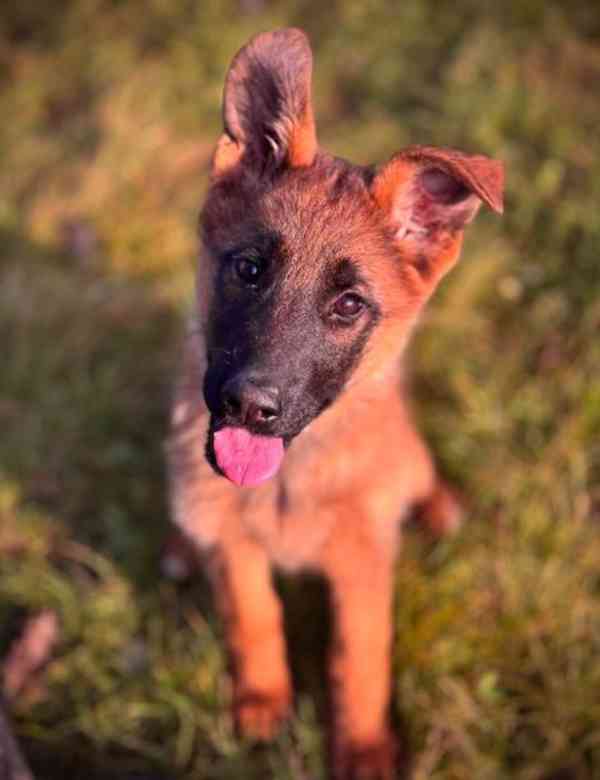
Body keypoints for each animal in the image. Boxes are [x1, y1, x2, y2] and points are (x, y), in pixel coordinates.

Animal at [166, 27, 504, 776]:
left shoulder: (363, 563)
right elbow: (253, 615)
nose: (249, 406)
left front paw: (364, 746)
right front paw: (262, 704)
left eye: (349, 305)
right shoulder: (235, 543)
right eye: (249, 268)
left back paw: (438, 508)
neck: (288, 477)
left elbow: (360, 656)